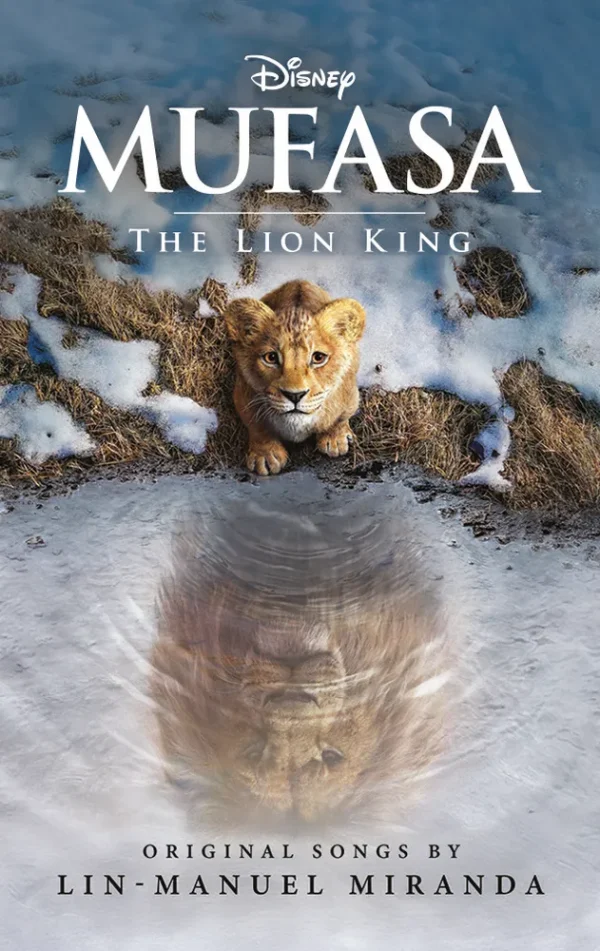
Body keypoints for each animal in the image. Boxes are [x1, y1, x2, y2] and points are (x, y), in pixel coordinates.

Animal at [224, 280, 366, 475]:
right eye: (271, 357)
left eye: (318, 357)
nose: (295, 395)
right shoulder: (243, 395)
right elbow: (257, 426)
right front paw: (265, 455)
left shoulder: (350, 395)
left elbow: (340, 418)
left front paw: (335, 439)